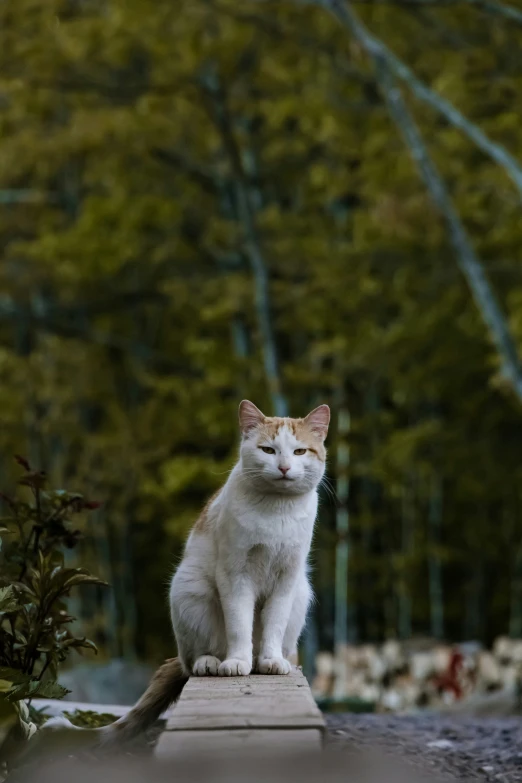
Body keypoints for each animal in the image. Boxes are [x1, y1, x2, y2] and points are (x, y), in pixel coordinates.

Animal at [42, 402, 328, 744]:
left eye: (299, 451)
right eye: (268, 450)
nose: (284, 468)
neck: (277, 511)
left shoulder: (287, 579)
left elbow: (273, 625)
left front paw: (269, 661)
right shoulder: (236, 575)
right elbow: (239, 625)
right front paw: (238, 662)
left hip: (301, 593)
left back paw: (271, 660)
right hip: (190, 589)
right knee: (193, 660)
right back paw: (213, 663)